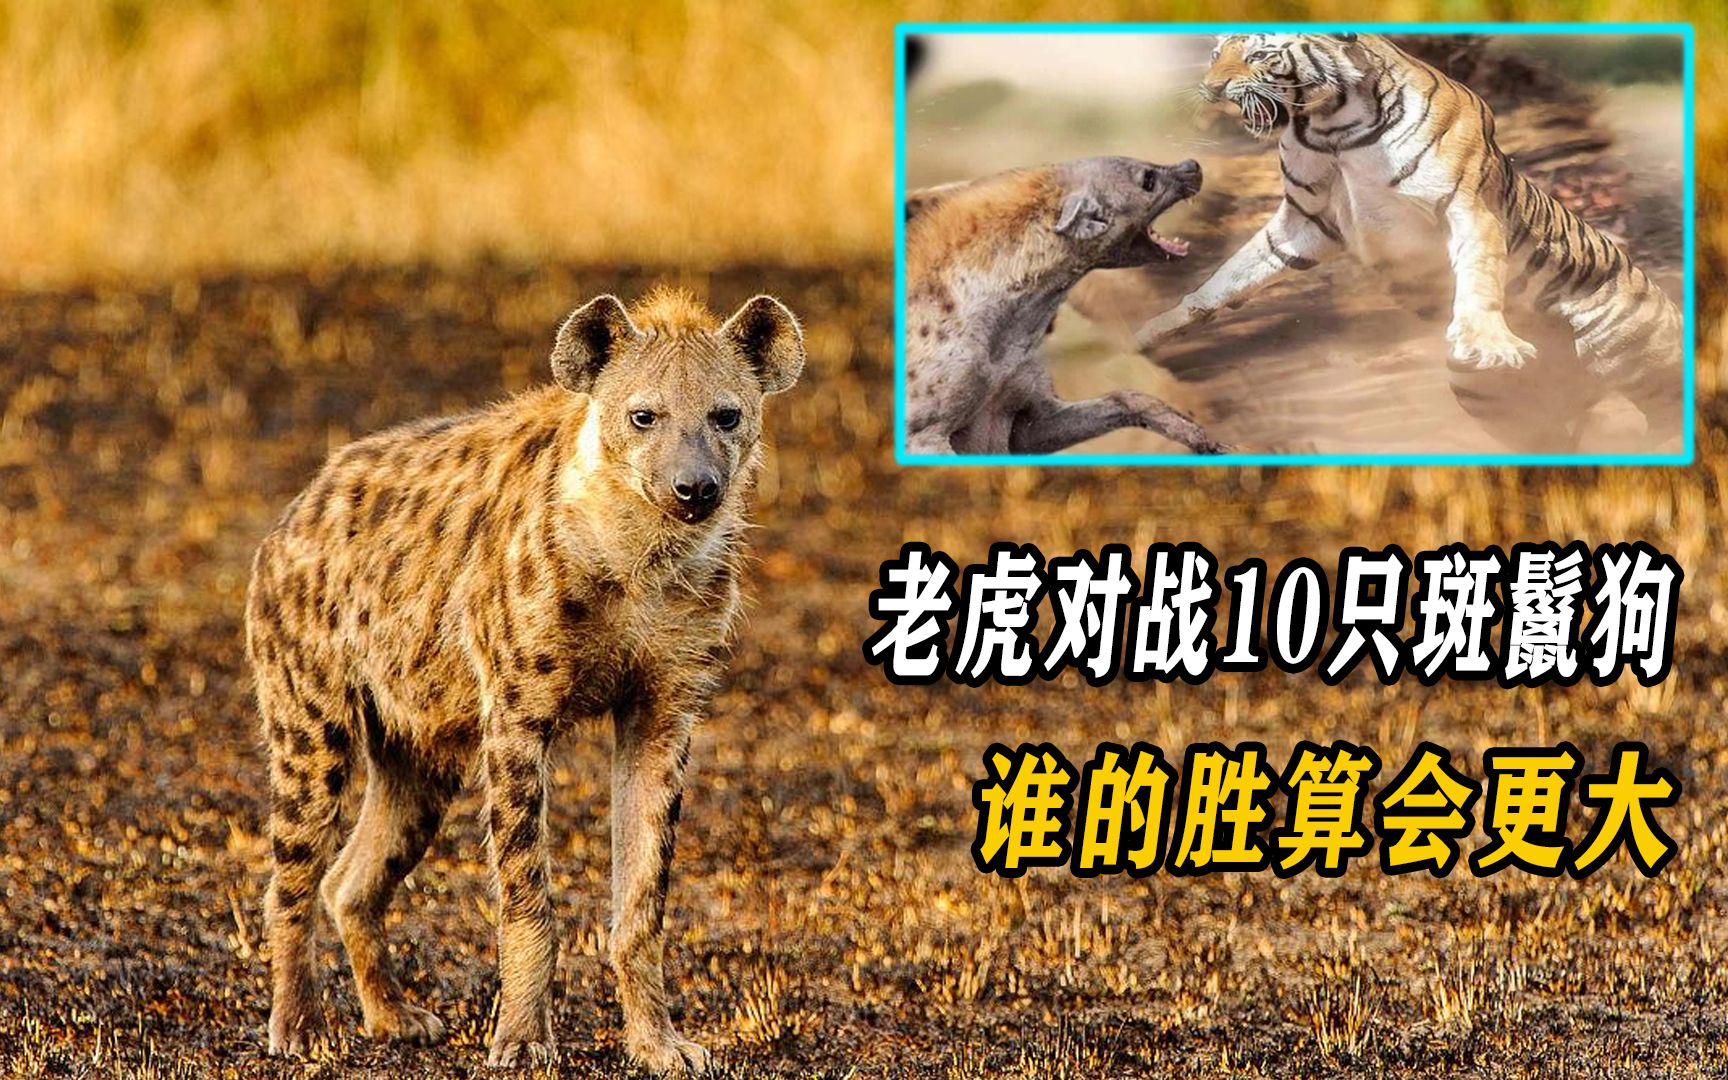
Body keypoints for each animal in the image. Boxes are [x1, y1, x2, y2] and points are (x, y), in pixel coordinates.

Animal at [1136, 32, 1685, 450]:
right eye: (1215, 53)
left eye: (1259, 55)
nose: (1211, 88)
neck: (1328, 125)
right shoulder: (1307, 221)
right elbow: (1232, 274)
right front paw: (1151, 331)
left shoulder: (1467, 206)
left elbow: (1479, 273)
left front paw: (1487, 338)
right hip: (1497, 401)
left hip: (1648, 371)